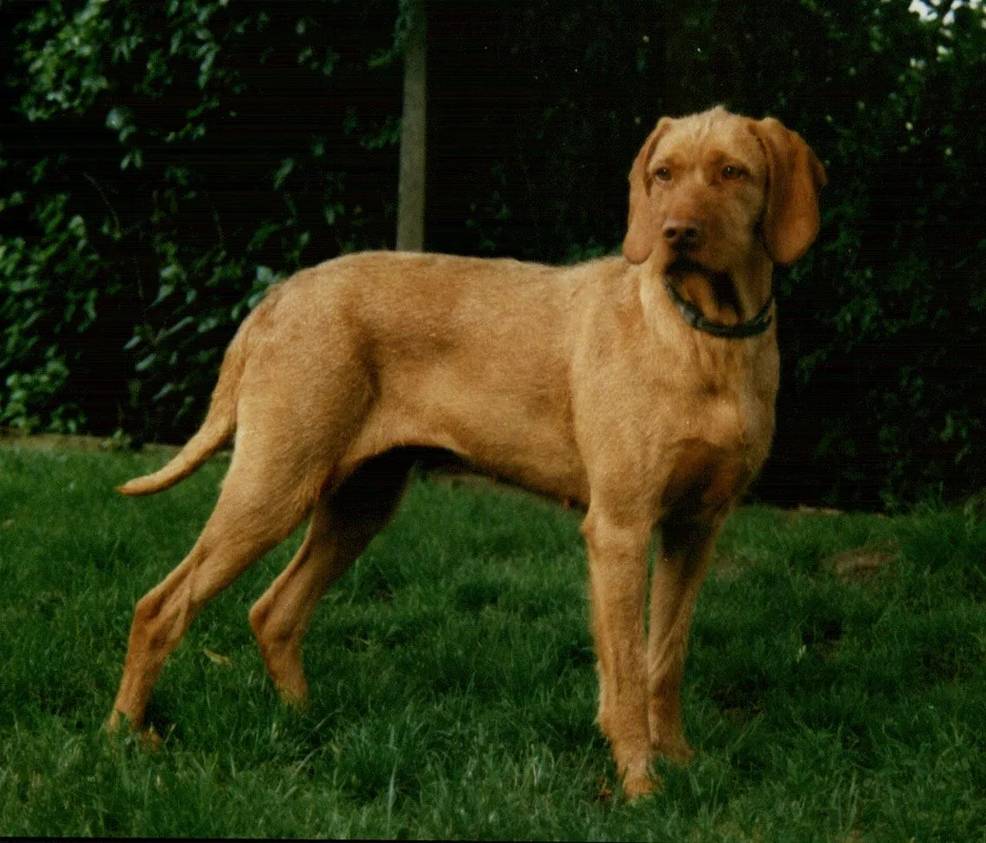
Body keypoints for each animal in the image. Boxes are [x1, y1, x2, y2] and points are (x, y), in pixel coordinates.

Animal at [105, 105, 824, 796]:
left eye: (732, 172)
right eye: (663, 175)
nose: (675, 233)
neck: (706, 334)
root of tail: (279, 295)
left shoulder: (694, 528)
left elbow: (665, 657)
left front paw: (676, 758)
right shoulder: (620, 527)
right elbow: (624, 670)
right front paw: (641, 782)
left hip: (360, 501)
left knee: (273, 611)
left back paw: (306, 722)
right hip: (274, 485)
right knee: (158, 606)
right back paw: (126, 735)